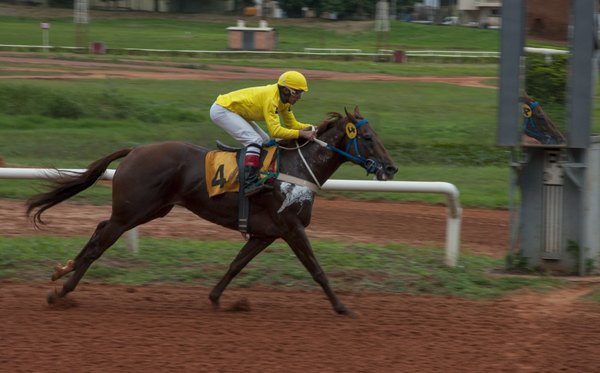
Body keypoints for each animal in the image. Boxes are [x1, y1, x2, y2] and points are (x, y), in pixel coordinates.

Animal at [25, 106, 398, 316]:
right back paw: (62, 290)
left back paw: (63, 271)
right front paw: (342, 307)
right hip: (132, 212)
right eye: (366, 137)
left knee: (100, 228)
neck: (295, 170)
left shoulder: (266, 233)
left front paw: (217, 298)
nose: (391, 168)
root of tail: (135, 150)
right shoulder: (292, 227)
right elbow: (317, 270)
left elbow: (236, 264)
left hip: (149, 210)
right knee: (101, 241)